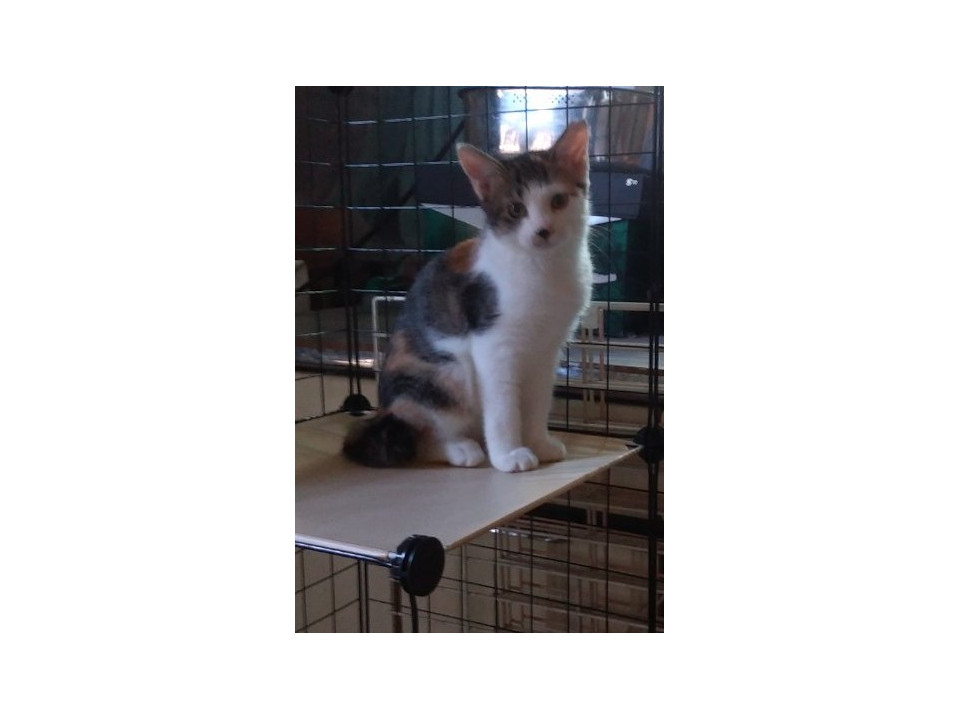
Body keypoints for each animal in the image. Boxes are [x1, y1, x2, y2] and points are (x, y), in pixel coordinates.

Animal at [343, 121, 593, 473]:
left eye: (558, 200)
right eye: (516, 209)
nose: (543, 231)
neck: (543, 267)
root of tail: (385, 413)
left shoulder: (547, 350)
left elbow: (538, 400)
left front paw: (539, 442)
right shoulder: (492, 344)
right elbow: (503, 407)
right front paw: (508, 454)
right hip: (446, 374)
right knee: (419, 436)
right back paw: (460, 448)